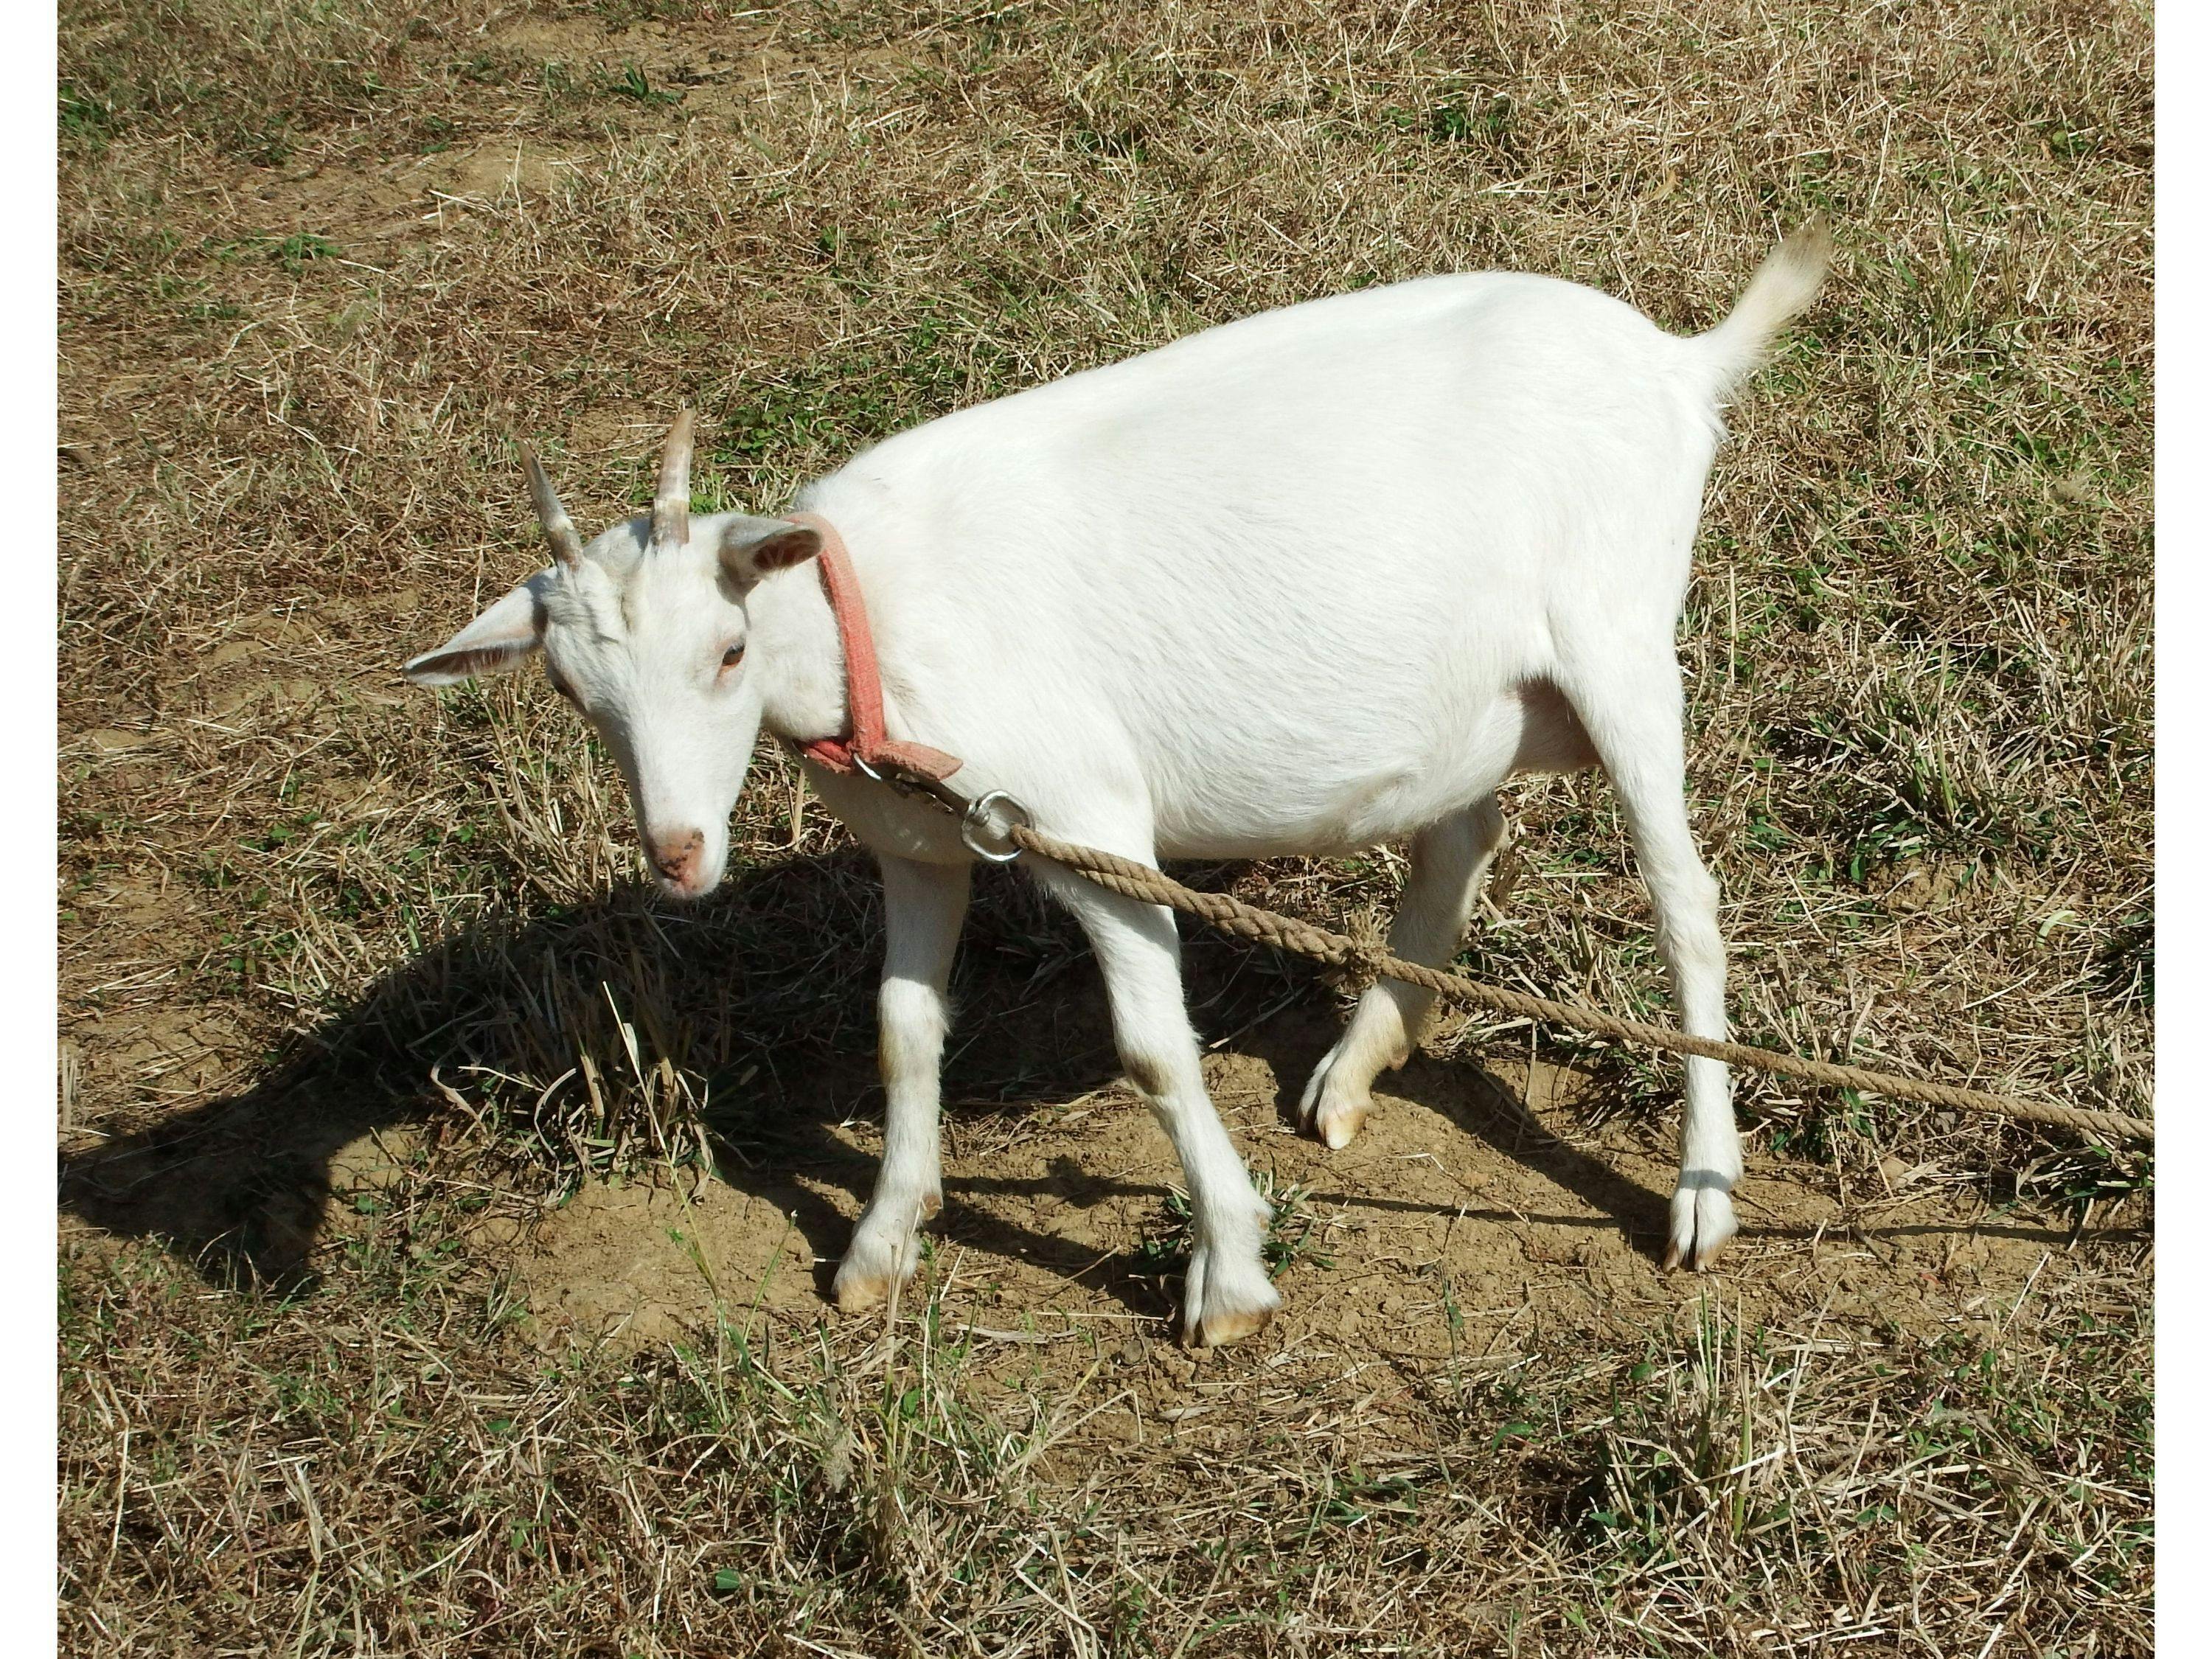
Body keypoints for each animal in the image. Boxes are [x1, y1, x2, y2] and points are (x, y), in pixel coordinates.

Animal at [411, 224, 1832, 1354]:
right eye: (572, 694)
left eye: (725, 650)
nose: (679, 853)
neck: (860, 620)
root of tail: (1680, 361)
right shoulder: (920, 847)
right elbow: (902, 1028)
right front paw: (881, 1241)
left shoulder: (1087, 823)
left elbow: (1153, 1049)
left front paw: (1232, 1276)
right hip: (1481, 700)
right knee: (1462, 835)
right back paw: (1360, 1062)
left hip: (1618, 638)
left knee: (1685, 901)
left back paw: (1702, 1188)